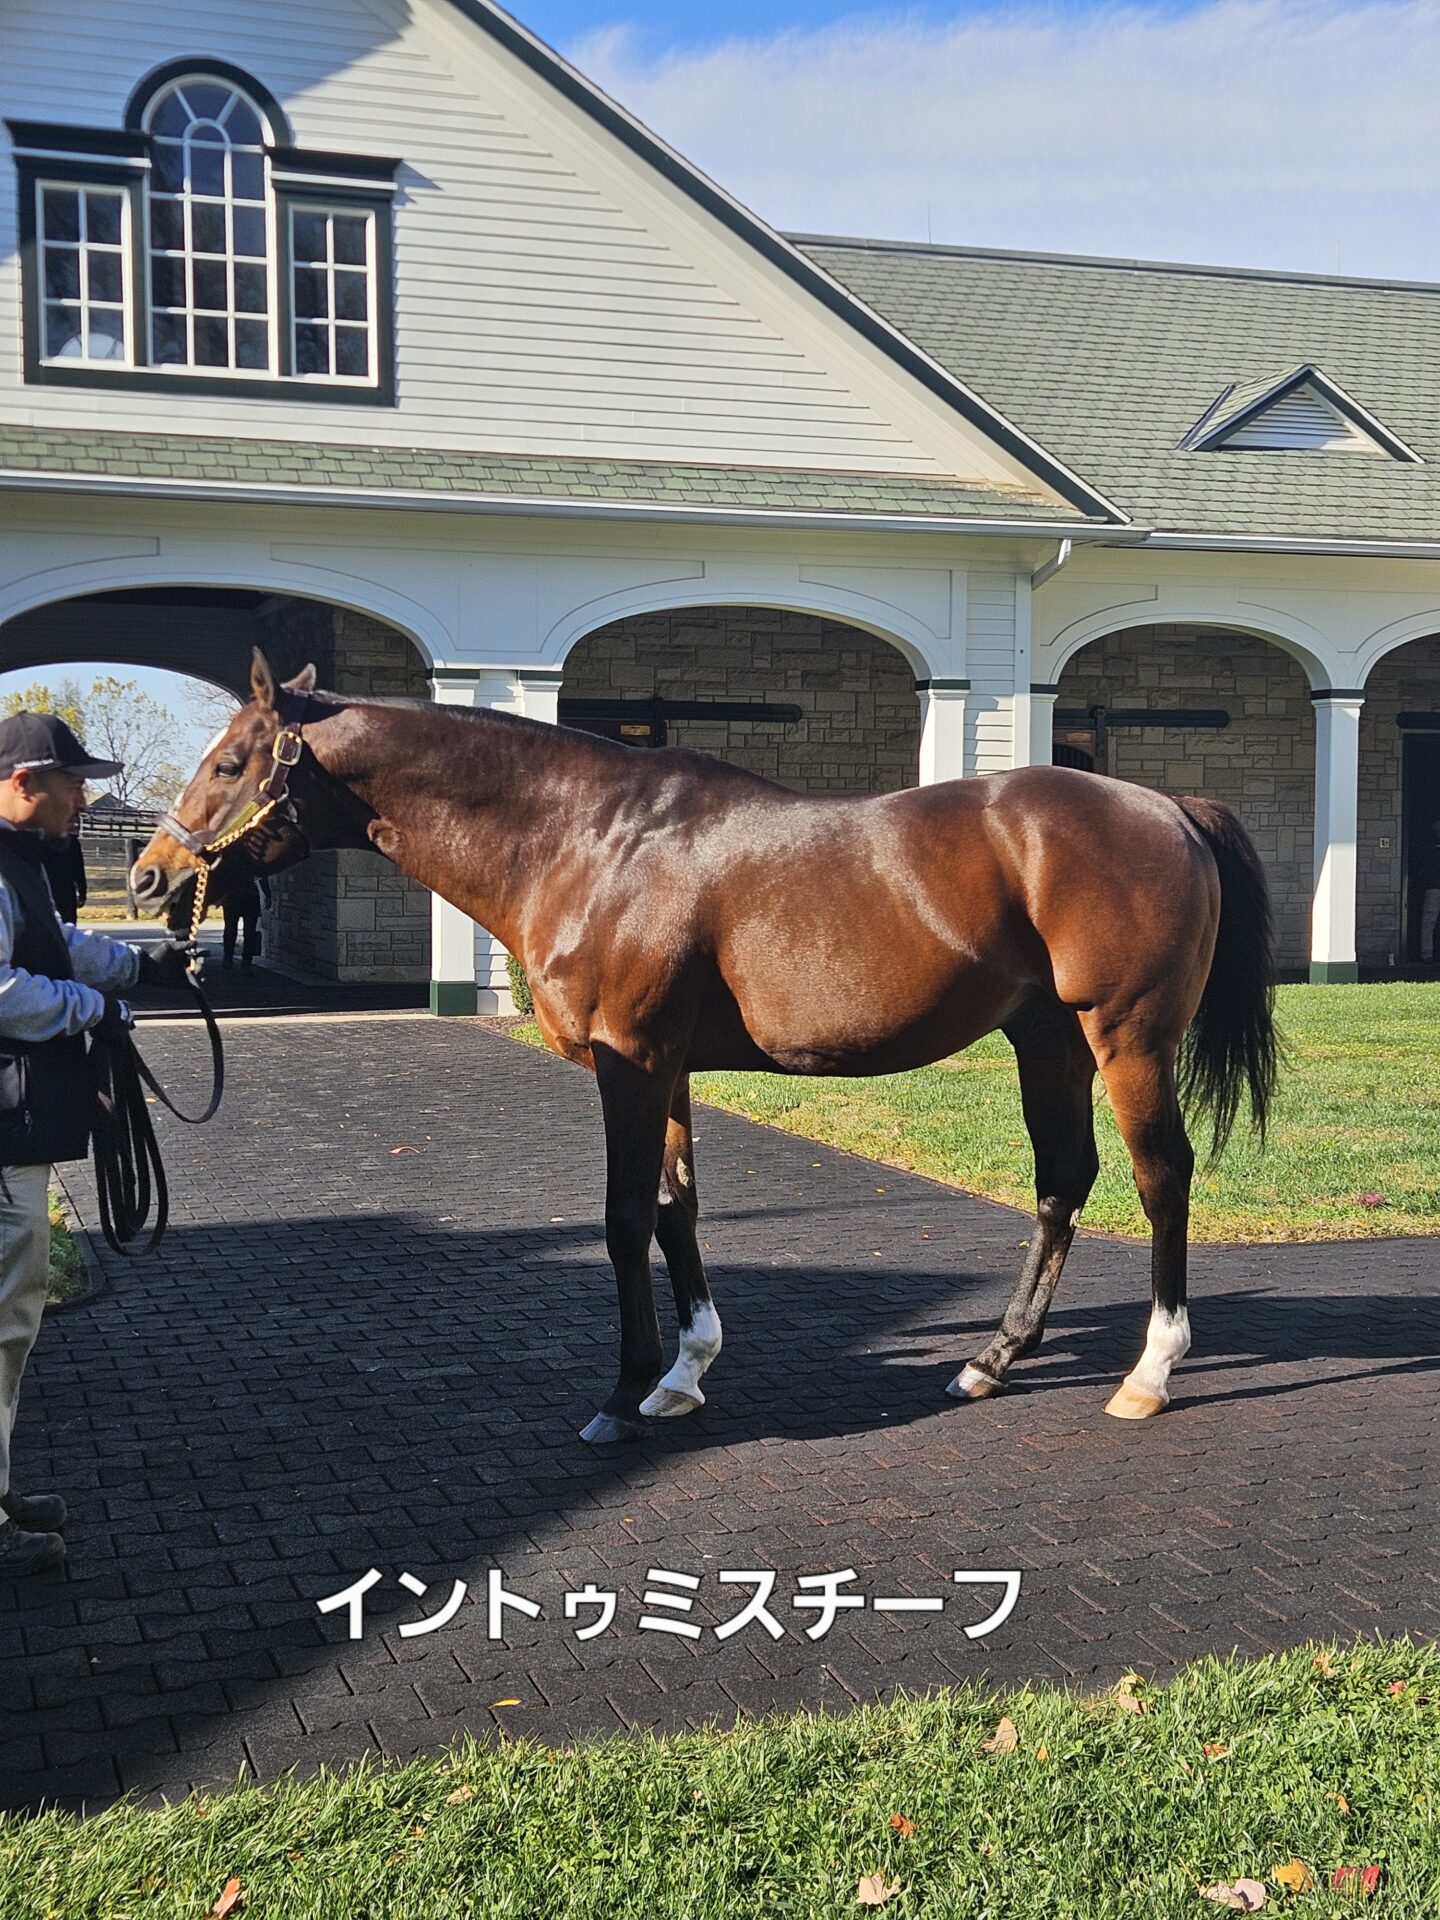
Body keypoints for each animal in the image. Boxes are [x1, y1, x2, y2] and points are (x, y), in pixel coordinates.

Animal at [132, 648, 1277, 1444]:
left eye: (229, 762)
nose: (148, 877)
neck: (590, 838)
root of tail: (1166, 804)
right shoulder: (665, 1067)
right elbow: (675, 1209)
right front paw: (684, 1374)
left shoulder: (628, 1062)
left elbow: (621, 1219)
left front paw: (622, 1391)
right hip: (1047, 1039)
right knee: (1062, 1179)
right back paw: (990, 1360)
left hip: (1125, 1039)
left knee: (1159, 1175)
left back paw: (1148, 1373)